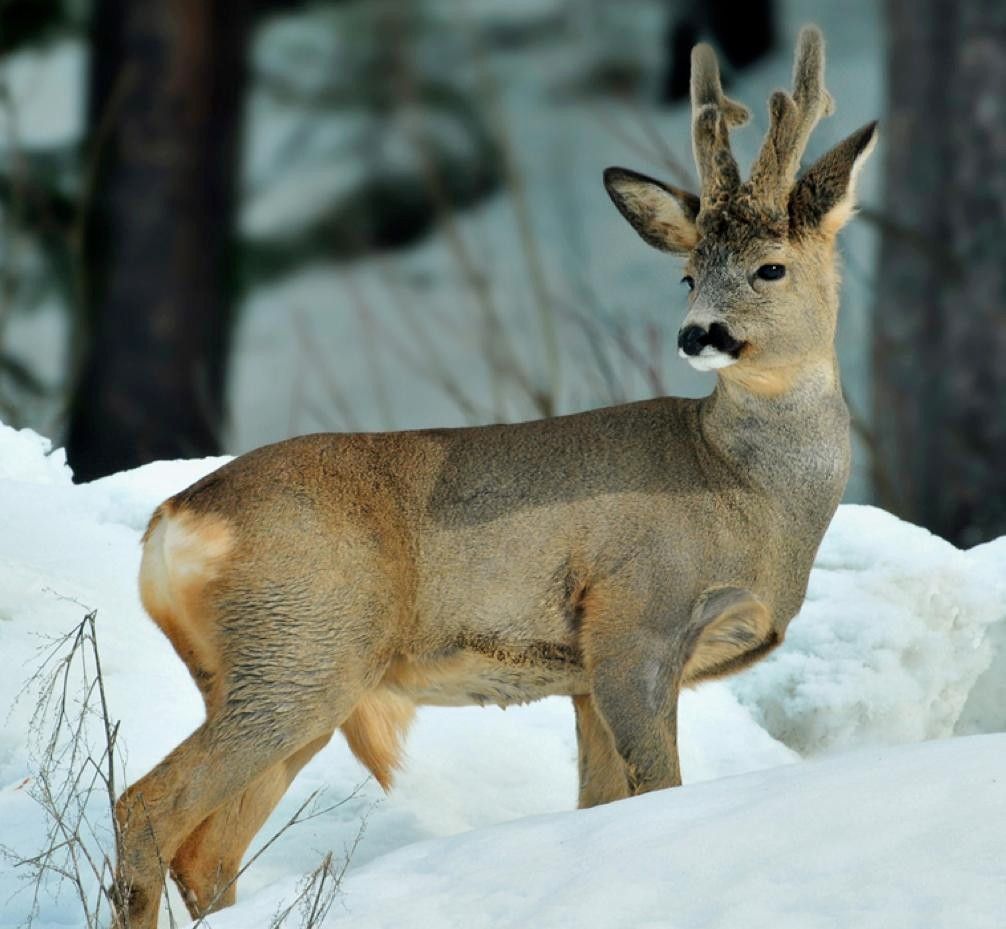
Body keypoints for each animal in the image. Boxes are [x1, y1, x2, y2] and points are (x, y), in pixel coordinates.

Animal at [115, 25, 873, 925]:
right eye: (689, 274)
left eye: (770, 268)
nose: (699, 334)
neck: (746, 492)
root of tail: (173, 521)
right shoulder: (634, 621)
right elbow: (660, 790)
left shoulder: (584, 676)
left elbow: (601, 807)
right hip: (301, 648)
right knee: (147, 806)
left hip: (280, 676)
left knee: (207, 852)